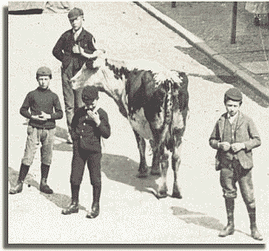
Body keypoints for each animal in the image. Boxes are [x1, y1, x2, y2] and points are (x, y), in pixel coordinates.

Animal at [70, 50, 187, 199]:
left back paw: (162, 190)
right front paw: (154, 169)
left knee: (165, 155)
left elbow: (142, 145)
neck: (125, 75)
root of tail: (168, 80)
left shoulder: (135, 123)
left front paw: (143, 170)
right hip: (179, 128)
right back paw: (177, 191)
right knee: (176, 158)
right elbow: (154, 145)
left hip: (158, 125)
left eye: (87, 66)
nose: (71, 81)